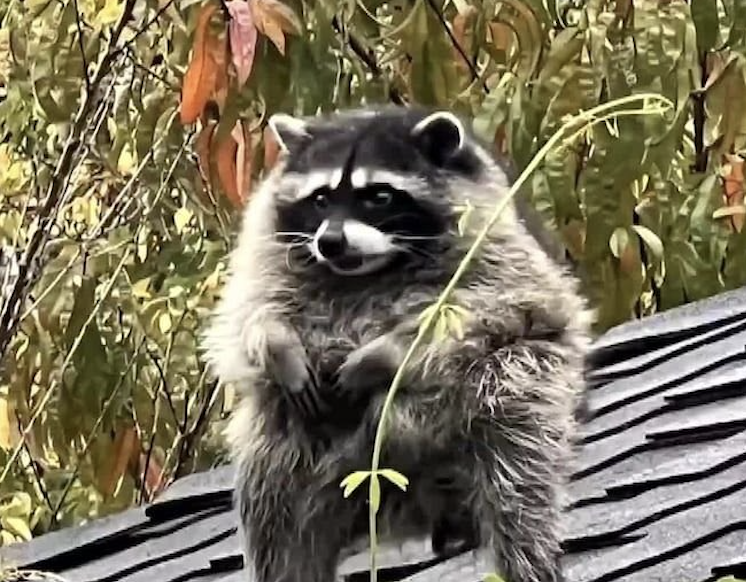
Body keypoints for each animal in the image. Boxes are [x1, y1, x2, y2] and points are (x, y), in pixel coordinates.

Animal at [202, 105, 594, 582]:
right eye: (320, 199)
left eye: (379, 196)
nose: (330, 242)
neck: (369, 270)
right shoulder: (266, 247)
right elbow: (249, 313)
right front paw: (277, 346)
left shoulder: (498, 240)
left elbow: (513, 308)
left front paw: (382, 355)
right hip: (296, 456)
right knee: (278, 516)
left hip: (517, 397)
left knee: (517, 463)